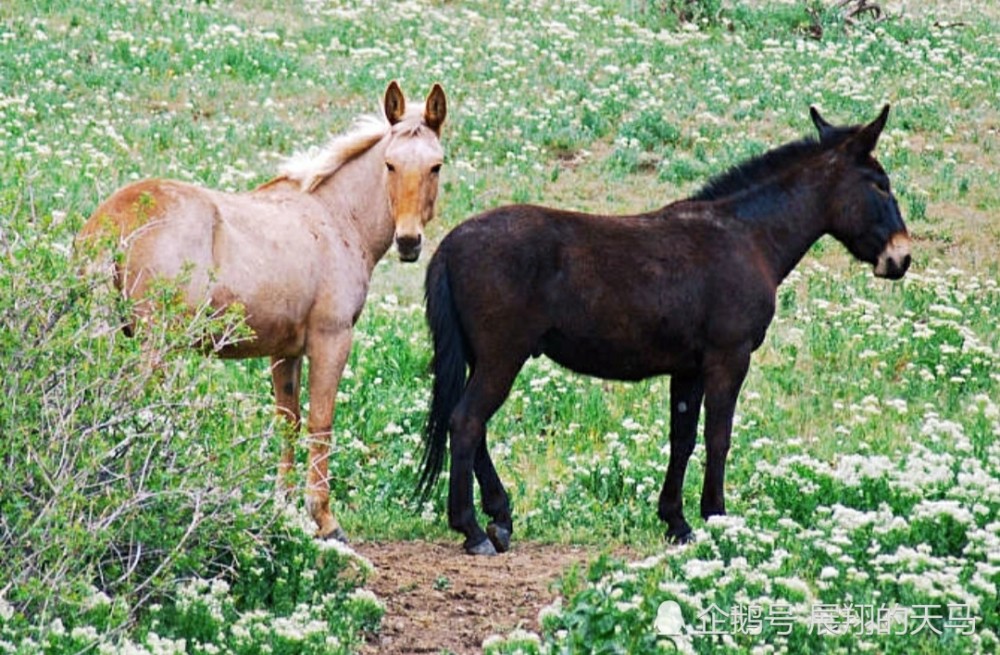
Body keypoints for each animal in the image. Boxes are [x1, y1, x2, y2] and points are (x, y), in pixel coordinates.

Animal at [80, 82, 448, 540]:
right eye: (390, 165)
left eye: (435, 166)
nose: (409, 242)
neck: (334, 218)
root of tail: (111, 220)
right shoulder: (332, 340)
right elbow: (321, 422)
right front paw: (324, 518)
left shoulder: (284, 352)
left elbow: (288, 420)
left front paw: (282, 507)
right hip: (155, 350)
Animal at [418, 105, 912, 556]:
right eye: (880, 184)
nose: (901, 258)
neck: (747, 237)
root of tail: (450, 244)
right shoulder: (729, 359)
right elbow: (718, 437)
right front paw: (716, 517)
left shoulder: (689, 369)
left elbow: (683, 439)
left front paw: (676, 521)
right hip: (503, 358)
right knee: (466, 422)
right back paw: (473, 530)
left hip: (485, 359)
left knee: (471, 426)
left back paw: (500, 518)